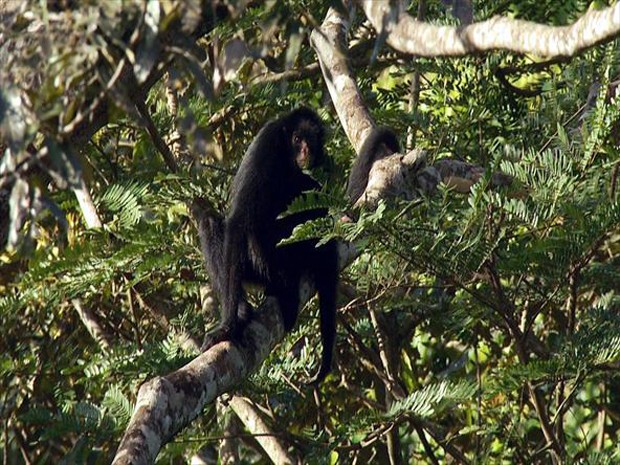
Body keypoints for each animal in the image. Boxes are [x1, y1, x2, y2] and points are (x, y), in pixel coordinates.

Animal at [194, 107, 340, 382]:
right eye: (297, 139)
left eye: (311, 139)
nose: (305, 151)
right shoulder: (266, 144)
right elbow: (239, 220)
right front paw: (228, 327)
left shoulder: (322, 162)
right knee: (212, 223)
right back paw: (243, 311)